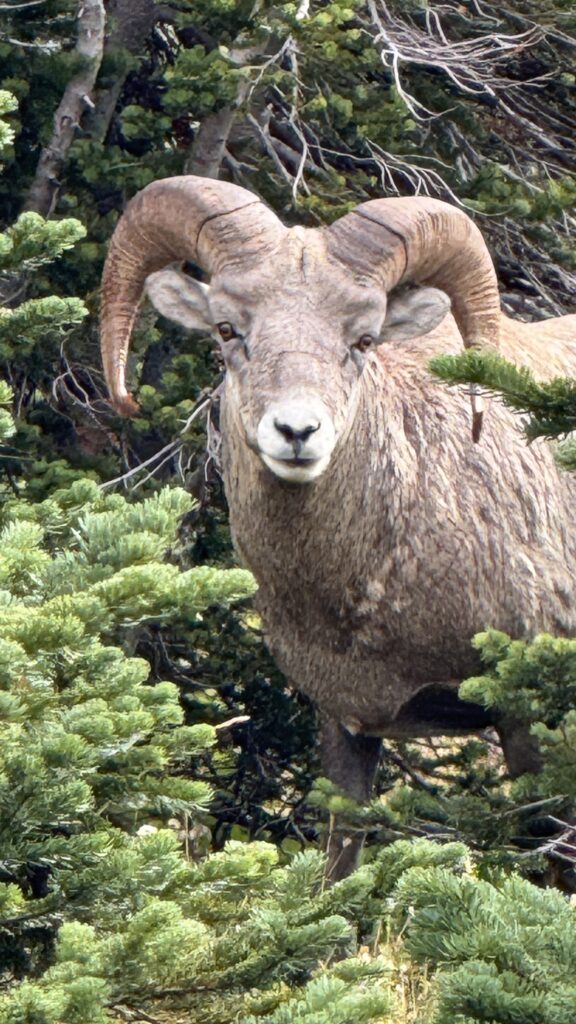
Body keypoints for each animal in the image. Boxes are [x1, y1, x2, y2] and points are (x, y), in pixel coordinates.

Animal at [100, 176, 576, 877]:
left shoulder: (526, 717)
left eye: (364, 339)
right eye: (227, 329)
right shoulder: (345, 724)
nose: (297, 432)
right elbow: (339, 865)